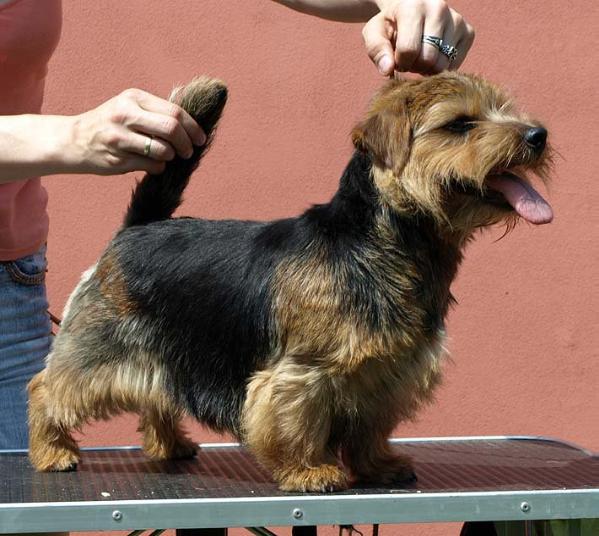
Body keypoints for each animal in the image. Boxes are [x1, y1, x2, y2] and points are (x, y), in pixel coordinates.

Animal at [27, 73, 552, 492]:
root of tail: (137, 228)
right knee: (46, 388)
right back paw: (52, 451)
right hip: (97, 349)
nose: (538, 134)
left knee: (157, 394)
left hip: (166, 350)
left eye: (503, 108)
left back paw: (171, 445)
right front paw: (308, 471)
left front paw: (377, 466)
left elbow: (370, 428)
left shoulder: (387, 372)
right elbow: (296, 421)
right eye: (460, 124)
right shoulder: (304, 372)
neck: (383, 241)